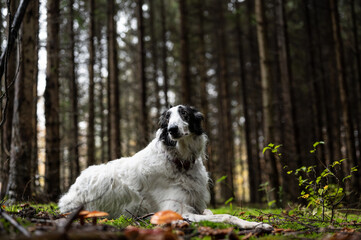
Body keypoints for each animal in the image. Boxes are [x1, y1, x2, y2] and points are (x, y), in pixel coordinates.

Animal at [57, 105, 272, 231]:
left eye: (184, 113)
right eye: (167, 118)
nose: (172, 130)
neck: (179, 162)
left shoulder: (196, 203)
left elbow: (214, 212)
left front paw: (257, 223)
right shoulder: (178, 209)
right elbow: (227, 216)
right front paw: (255, 224)